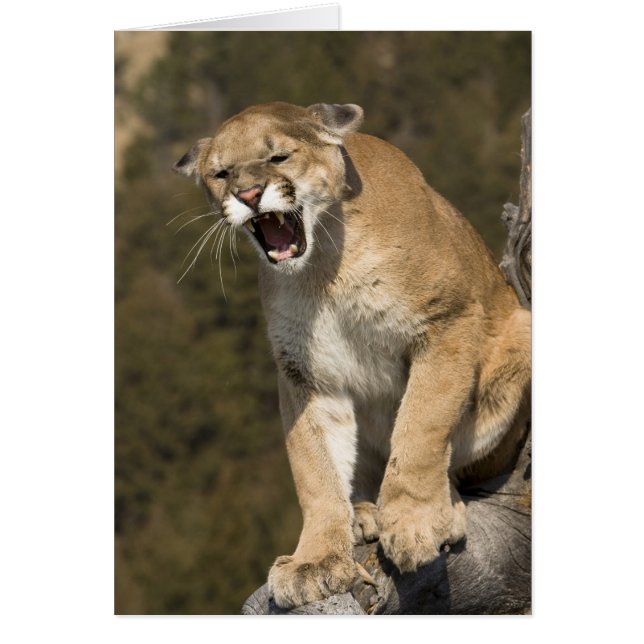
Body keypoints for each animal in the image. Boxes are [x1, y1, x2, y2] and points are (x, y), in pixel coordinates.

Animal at [174, 102, 531, 609]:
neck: (323, 267)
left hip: (520, 333)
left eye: (279, 157)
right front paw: (315, 561)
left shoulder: (446, 321)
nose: (248, 193)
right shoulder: (305, 373)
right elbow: (314, 468)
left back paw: (441, 510)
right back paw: (361, 512)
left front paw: (414, 521)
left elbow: (421, 427)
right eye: (221, 173)